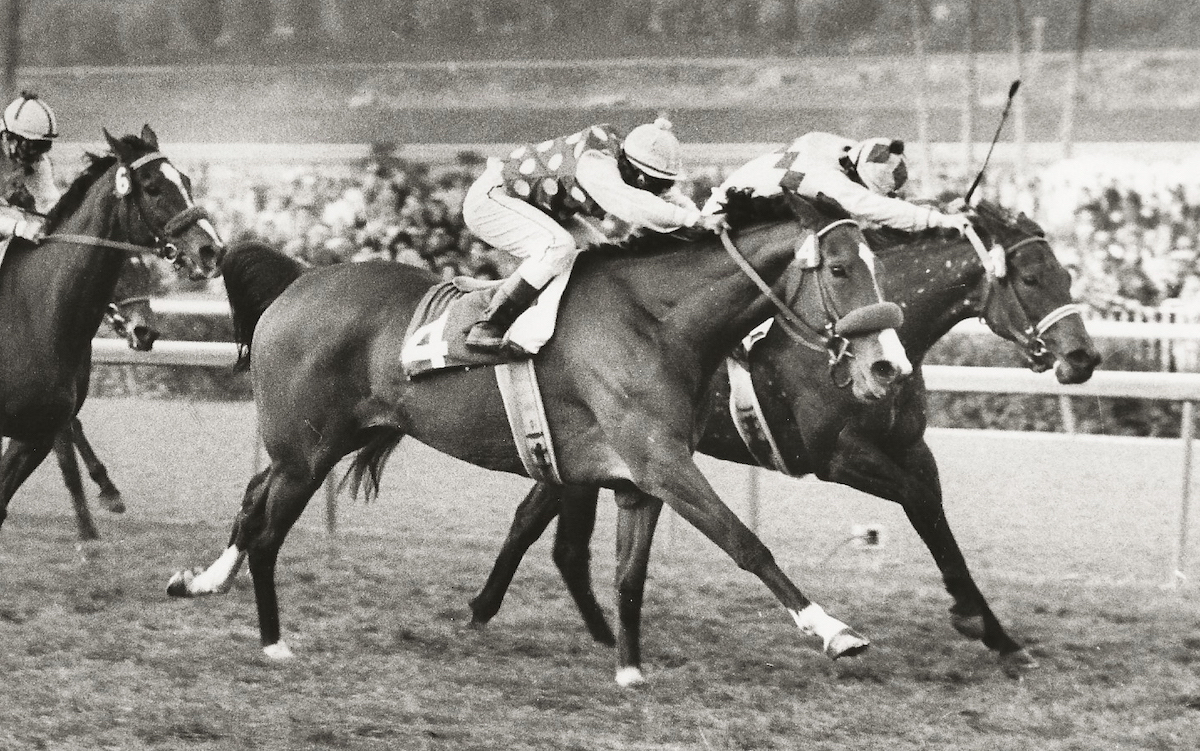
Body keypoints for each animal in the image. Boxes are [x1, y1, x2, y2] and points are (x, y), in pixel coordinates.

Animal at [169, 193, 912, 686]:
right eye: (840, 270)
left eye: (877, 265)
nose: (888, 366)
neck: (656, 322)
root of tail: (299, 281)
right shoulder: (661, 461)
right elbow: (745, 542)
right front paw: (836, 631)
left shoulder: (637, 478)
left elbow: (629, 573)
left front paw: (628, 668)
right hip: (308, 450)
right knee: (268, 528)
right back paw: (272, 642)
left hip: (324, 441)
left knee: (253, 499)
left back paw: (202, 579)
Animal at [465, 197, 1099, 671]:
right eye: (1033, 278)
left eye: (1069, 274)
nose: (1085, 358)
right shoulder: (832, 453)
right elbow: (918, 501)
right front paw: (969, 617)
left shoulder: (909, 446)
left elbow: (935, 518)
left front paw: (998, 634)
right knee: (555, 534)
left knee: (536, 519)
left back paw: (497, 611)